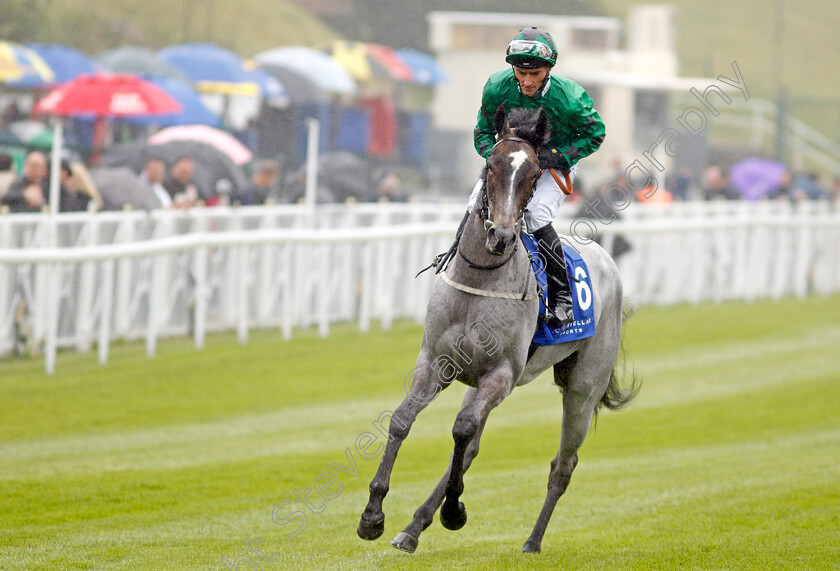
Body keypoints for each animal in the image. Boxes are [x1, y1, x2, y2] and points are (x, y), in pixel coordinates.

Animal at [354, 104, 636, 556]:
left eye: (535, 173)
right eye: (491, 165)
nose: (500, 235)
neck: (481, 280)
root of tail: (607, 259)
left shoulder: (500, 376)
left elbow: (460, 429)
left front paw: (454, 511)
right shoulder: (435, 362)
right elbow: (402, 421)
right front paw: (372, 516)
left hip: (583, 387)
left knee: (562, 465)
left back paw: (532, 541)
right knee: (470, 448)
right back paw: (412, 529)